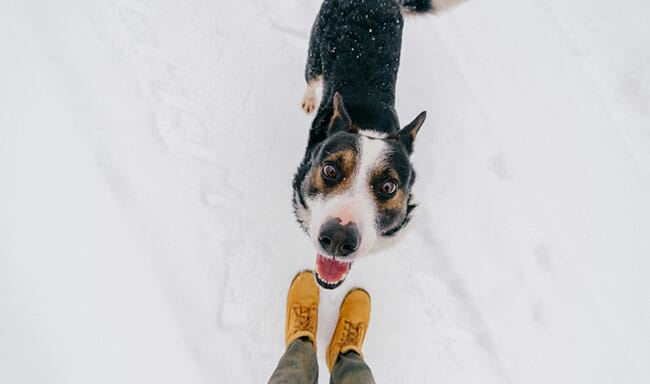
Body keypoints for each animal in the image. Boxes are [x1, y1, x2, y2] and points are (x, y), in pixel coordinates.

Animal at [294, 0, 436, 288]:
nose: (338, 238)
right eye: (329, 170)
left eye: (389, 187)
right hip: (315, 56)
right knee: (311, 77)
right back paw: (309, 98)